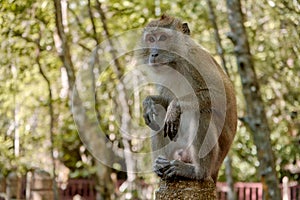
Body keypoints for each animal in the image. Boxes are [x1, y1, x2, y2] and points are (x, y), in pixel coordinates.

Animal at [137, 14, 238, 183]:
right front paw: (149, 102)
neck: (176, 63)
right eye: (151, 39)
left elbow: (220, 97)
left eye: (163, 38)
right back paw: (161, 163)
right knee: (159, 112)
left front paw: (175, 107)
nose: (154, 54)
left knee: (201, 111)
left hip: (213, 159)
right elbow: (163, 101)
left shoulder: (196, 59)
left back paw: (197, 172)